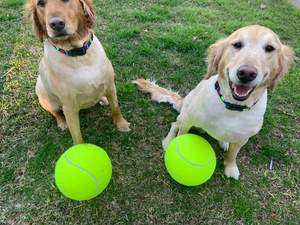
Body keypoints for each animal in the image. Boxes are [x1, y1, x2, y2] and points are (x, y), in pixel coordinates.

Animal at [27, 0, 131, 144]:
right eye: (40, 3)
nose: (56, 24)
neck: (79, 55)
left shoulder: (111, 86)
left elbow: (115, 108)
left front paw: (121, 124)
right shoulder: (70, 109)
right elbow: (77, 137)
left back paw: (102, 98)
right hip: (50, 103)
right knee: (56, 113)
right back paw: (62, 123)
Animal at [135, 25, 294, 179]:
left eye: (269, 48)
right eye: (237, 44)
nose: (247, 73)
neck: (232, 107)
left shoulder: (242, 139)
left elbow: (232, 155)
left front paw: (231, 168)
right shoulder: (188, 121)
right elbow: (181, 134)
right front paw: (173, 145)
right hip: (184, 114)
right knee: (174, 124)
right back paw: (168, 141)